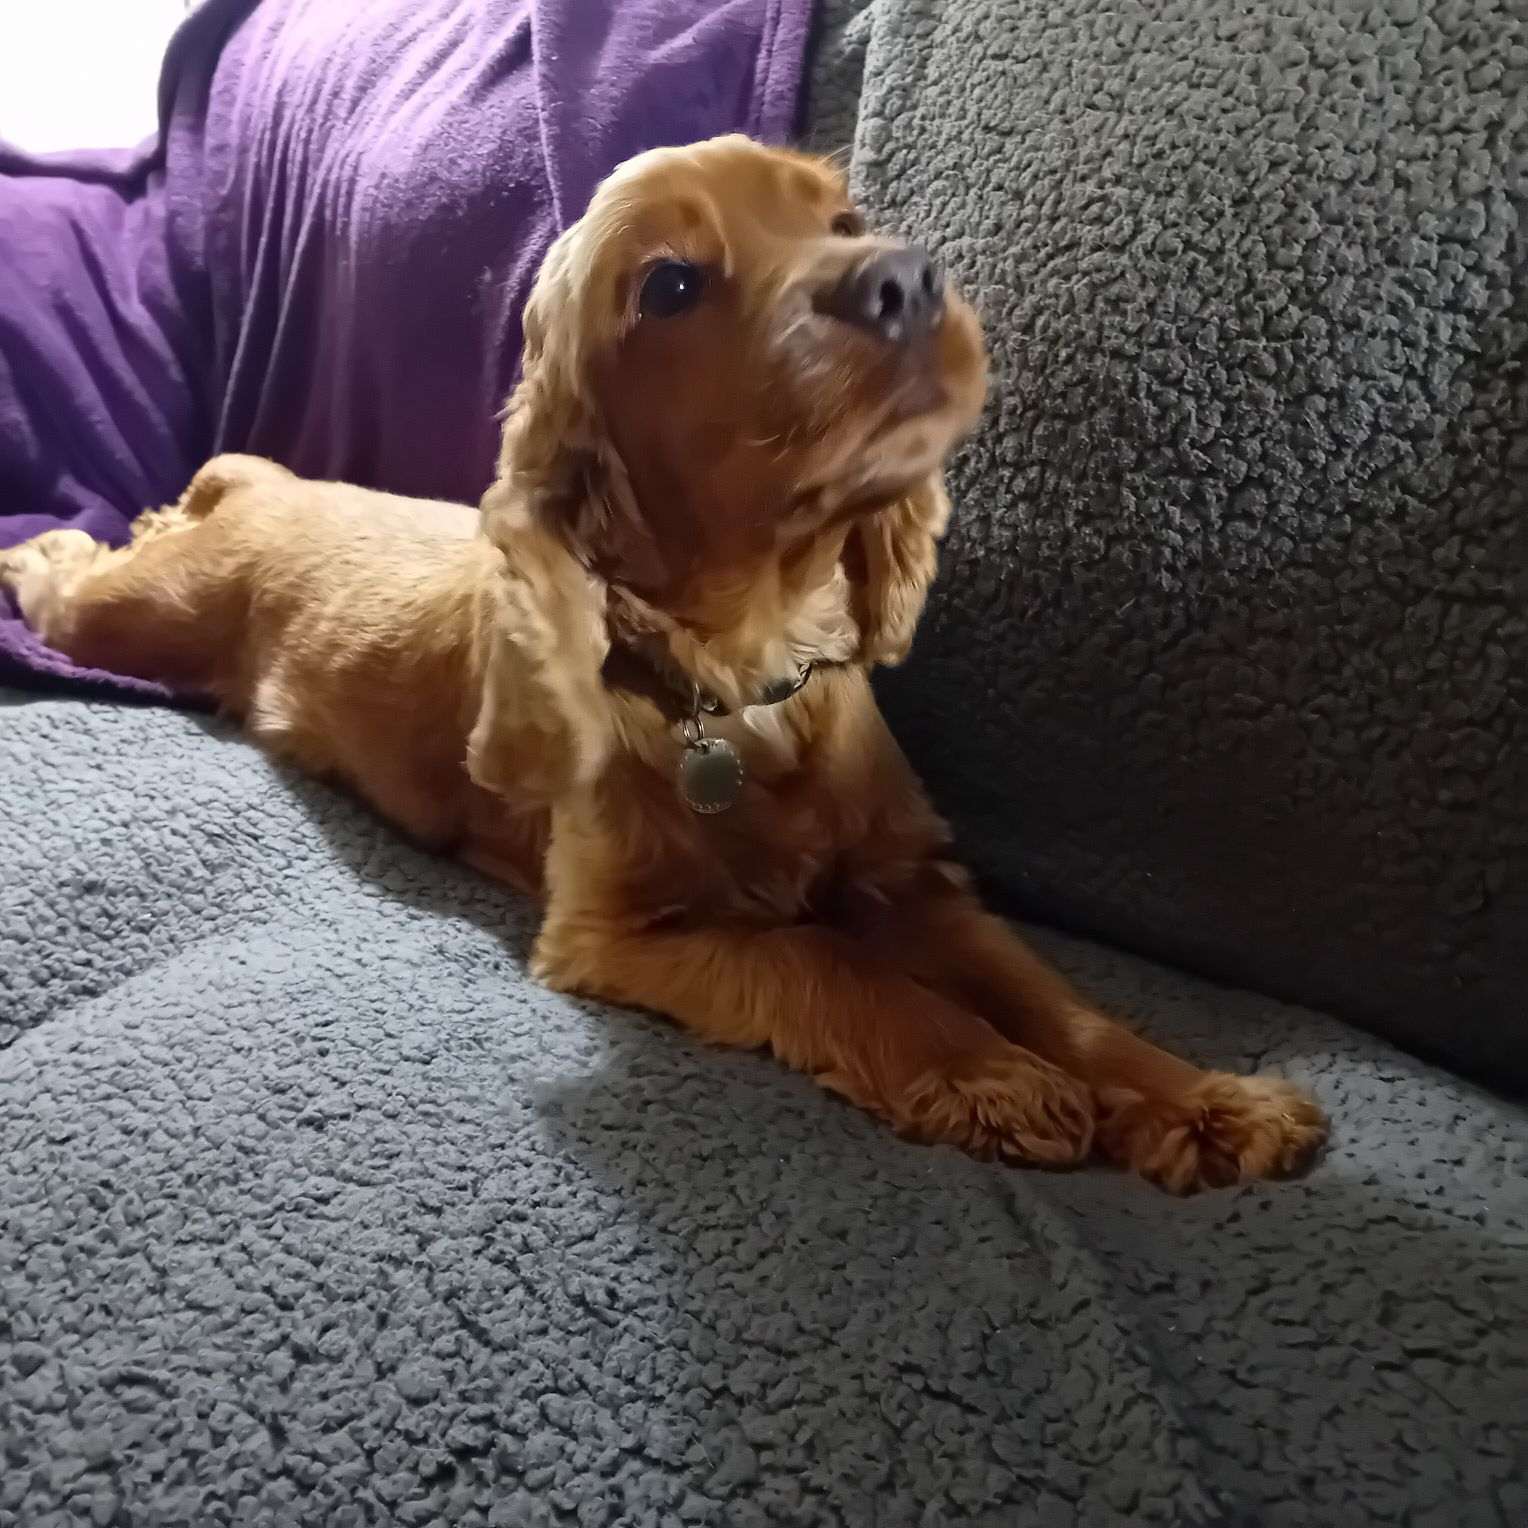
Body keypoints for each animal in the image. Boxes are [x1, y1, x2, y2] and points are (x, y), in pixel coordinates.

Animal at [2, 135, 1325, 1191]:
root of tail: (265, 484)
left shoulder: (915, 878)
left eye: (842, 220)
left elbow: (1056, 996)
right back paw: (49, 539)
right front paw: (984, 1073)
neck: (752, 682)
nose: (902, 277)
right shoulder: (613, 931)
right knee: (79, 578)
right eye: (671, 283)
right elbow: (819, 956)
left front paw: (1204, 1101)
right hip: (134, 613)